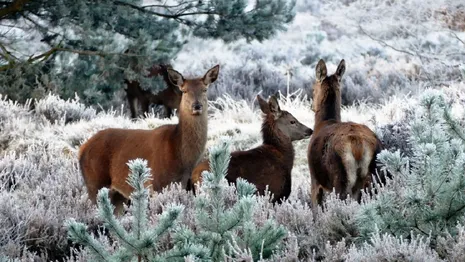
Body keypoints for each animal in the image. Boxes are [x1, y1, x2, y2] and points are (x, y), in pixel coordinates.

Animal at [80, 64, 219, 214]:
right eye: (184, 91)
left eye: (205, 89)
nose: (197, 106)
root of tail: (82, 149)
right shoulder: (157, 183)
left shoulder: (185, 185)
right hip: (95, 183)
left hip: (117, 194)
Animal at [306, 58, 386, 212]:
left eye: (313, 88)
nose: (312, 106)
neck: (323, 122)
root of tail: (358, 145)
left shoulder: (315, 179)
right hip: (375, 178)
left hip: (341, 178)